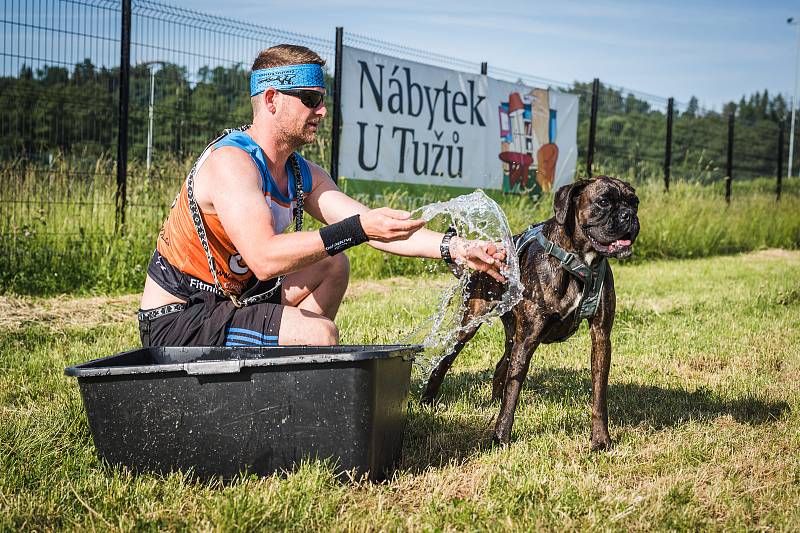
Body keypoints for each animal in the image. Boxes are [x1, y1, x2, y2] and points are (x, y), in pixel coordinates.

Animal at [422, 176, 640, 448]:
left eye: (635, 202)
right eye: (603, 201)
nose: (629, 215)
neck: (578, 262)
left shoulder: (600, 337)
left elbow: (599, 393)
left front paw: (600, 440)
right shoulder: (527, 339)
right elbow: (513, 392)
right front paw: (501, 438)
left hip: (512, 336)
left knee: (501, 366)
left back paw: (494, 401)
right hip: (470, 325)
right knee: (444, 361)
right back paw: (428, 400)